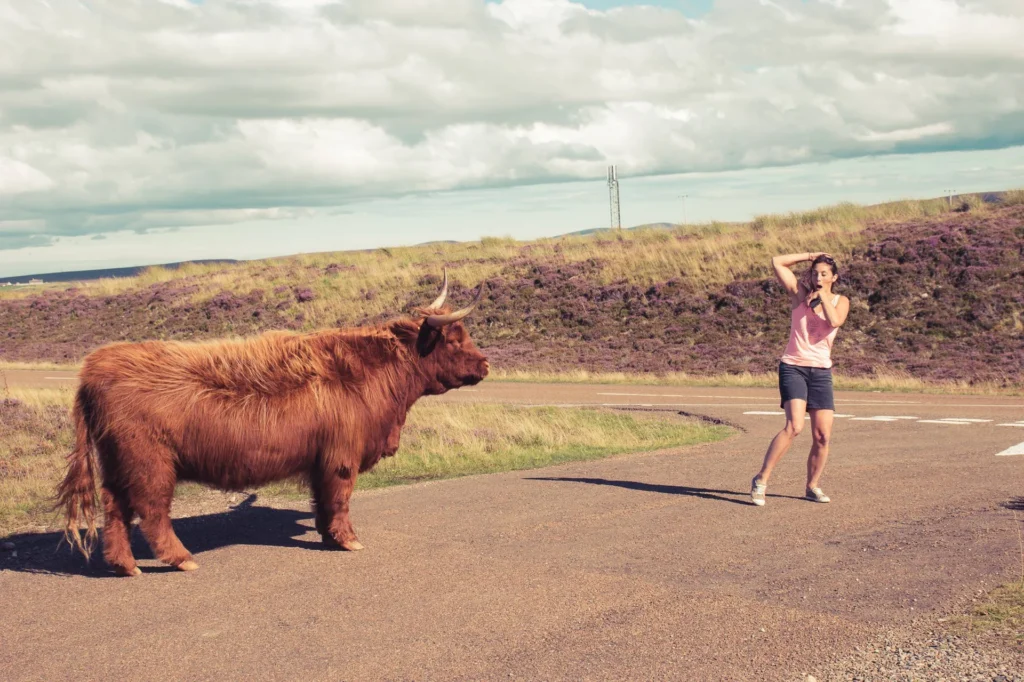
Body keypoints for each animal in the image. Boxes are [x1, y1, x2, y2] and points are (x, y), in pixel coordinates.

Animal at [56, 271, 489, 576]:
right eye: (454, 339)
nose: (486, 364)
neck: (376, 374)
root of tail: (95, 367)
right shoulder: (341, 457)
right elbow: (340, 499)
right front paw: (349, 541)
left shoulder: (320, 460)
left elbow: (322, 502)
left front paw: (329, 537)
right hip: (150, 463)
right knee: (151, 510)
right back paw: (182, 559)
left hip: (118, 463)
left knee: (115, 509)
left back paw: (125, 566)